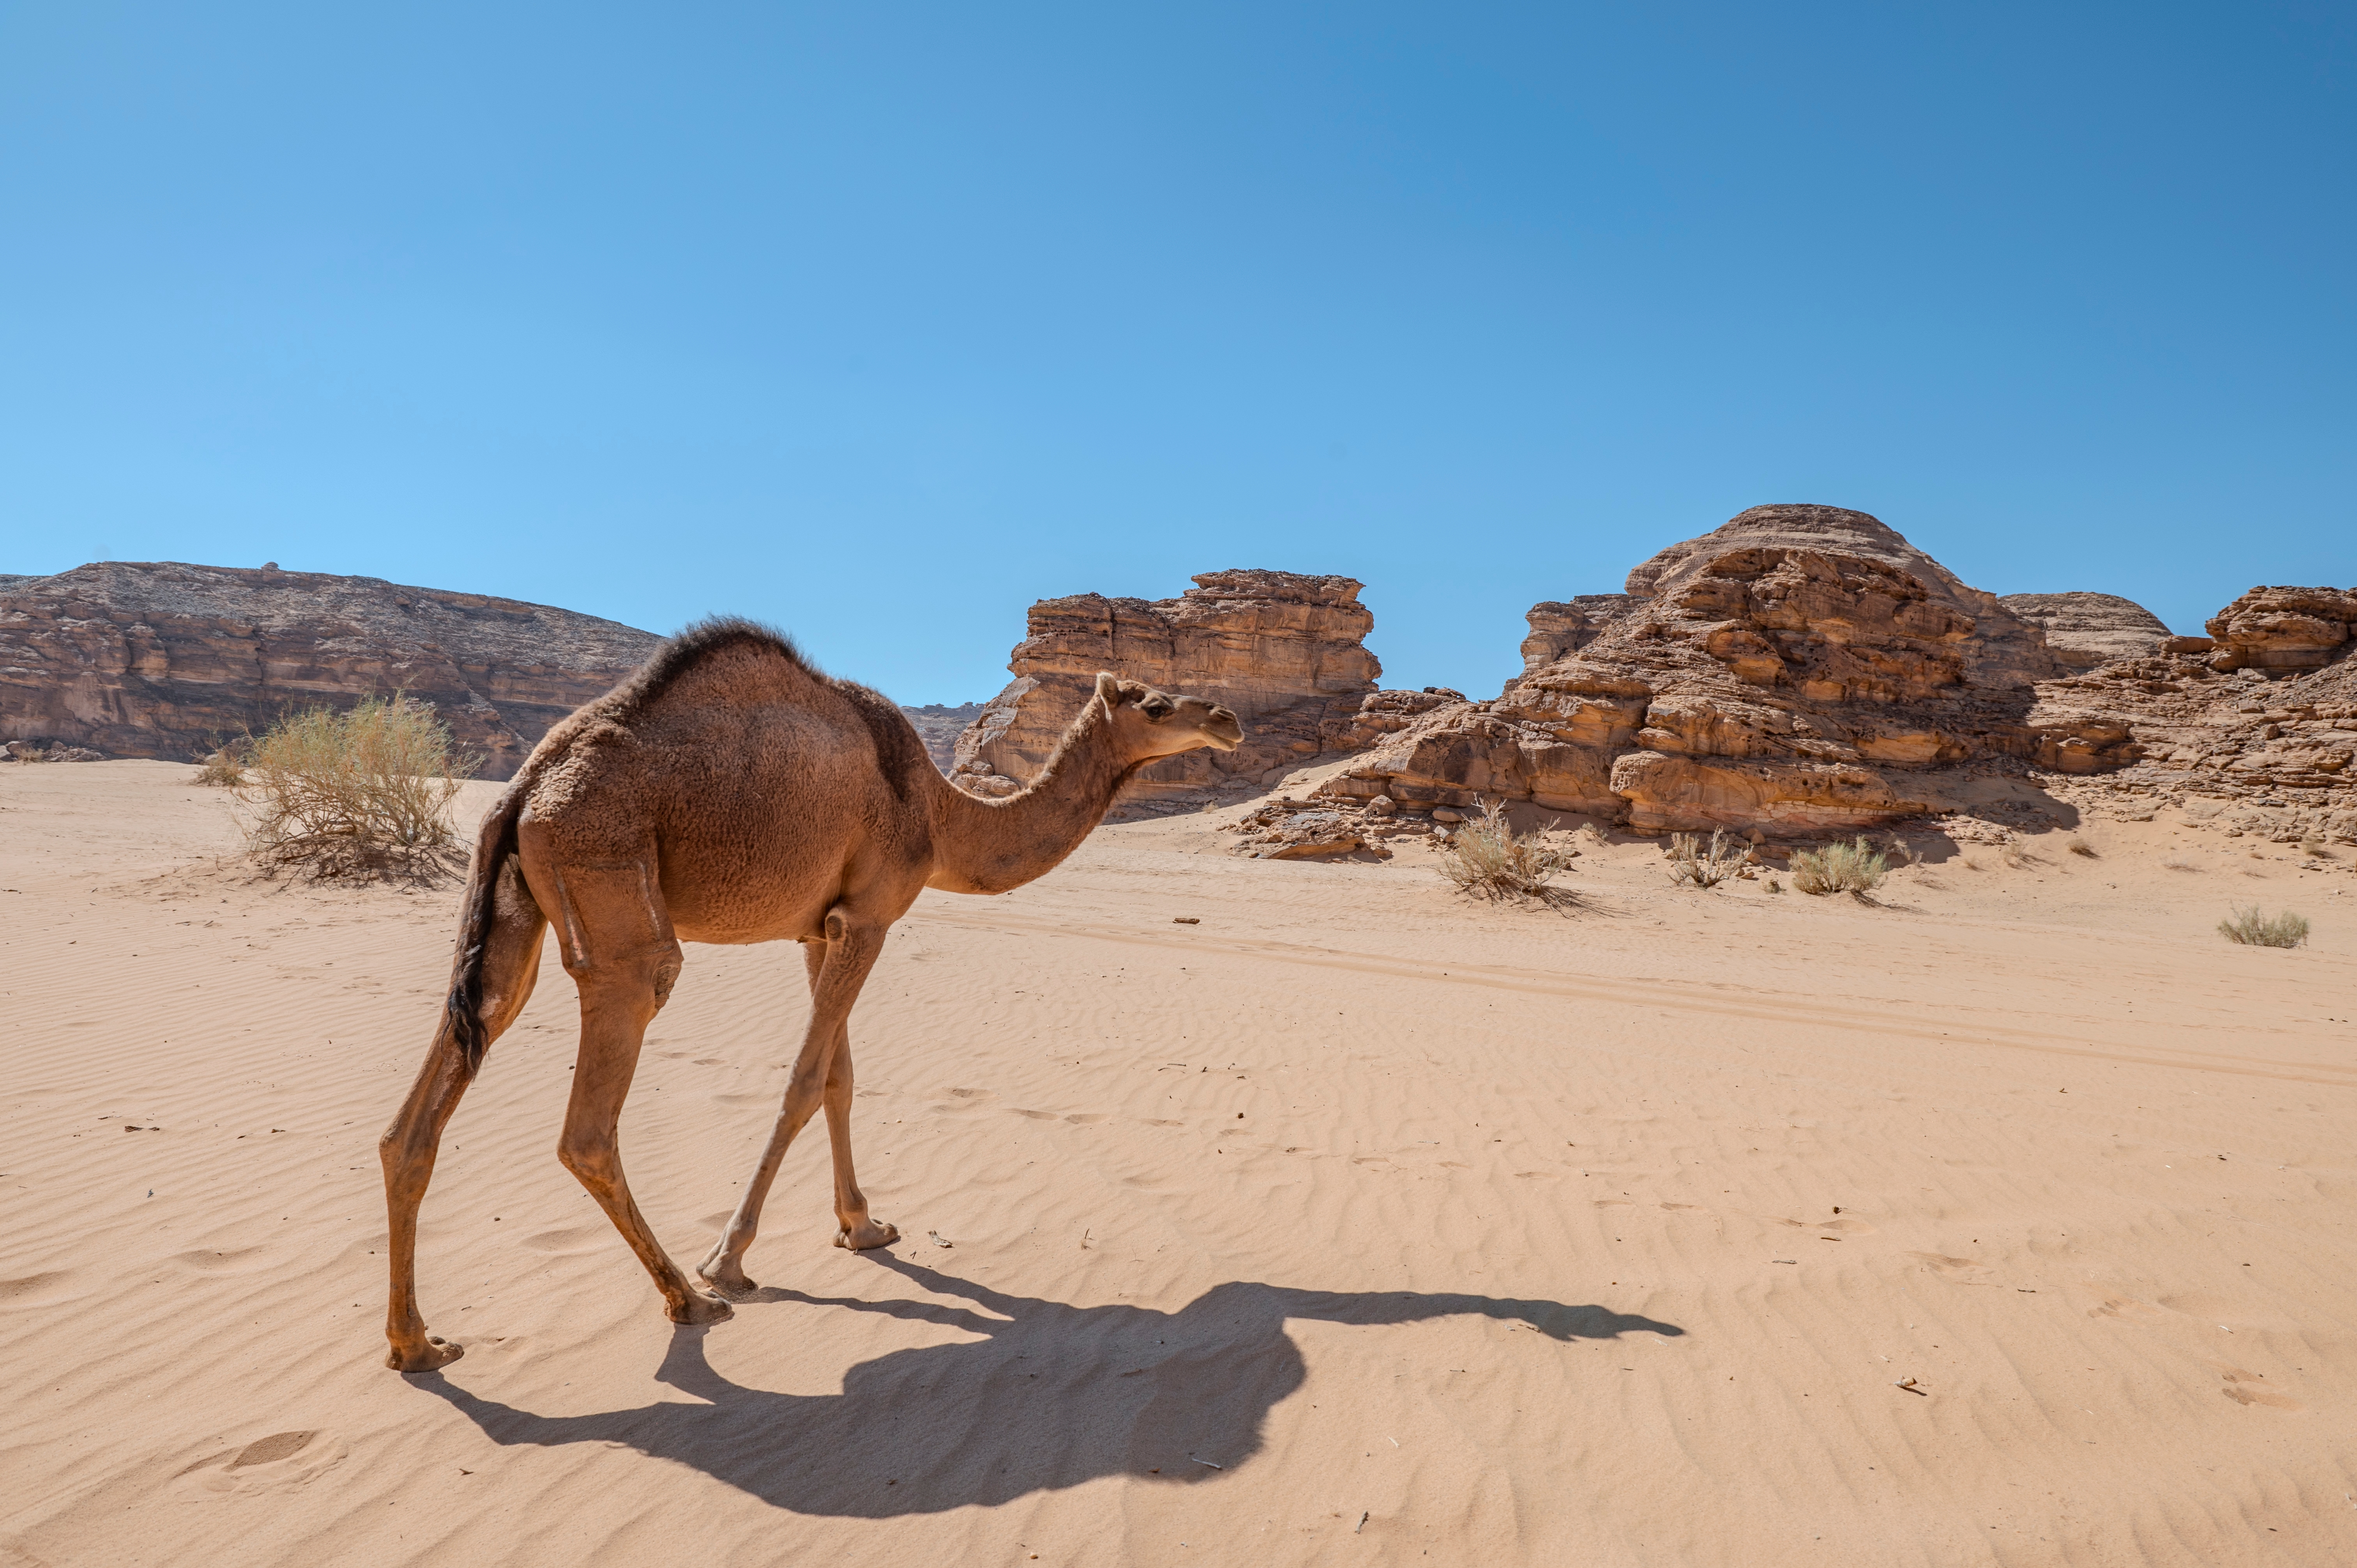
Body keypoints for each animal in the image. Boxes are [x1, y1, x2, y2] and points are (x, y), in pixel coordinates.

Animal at [379, 618, 1242, 1372]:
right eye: (1153, 703)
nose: (1227, 717)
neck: (940, 813)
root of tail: (522, 788)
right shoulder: (871, 914)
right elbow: (802, 1080)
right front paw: (730, 1257)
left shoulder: (819, 928)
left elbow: (839, 1077)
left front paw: (863, 1225)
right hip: (612, 892)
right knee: (591, 1120)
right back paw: (691, 1299)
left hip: (512, 917)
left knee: (418, 1115)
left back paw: (417, 1343)